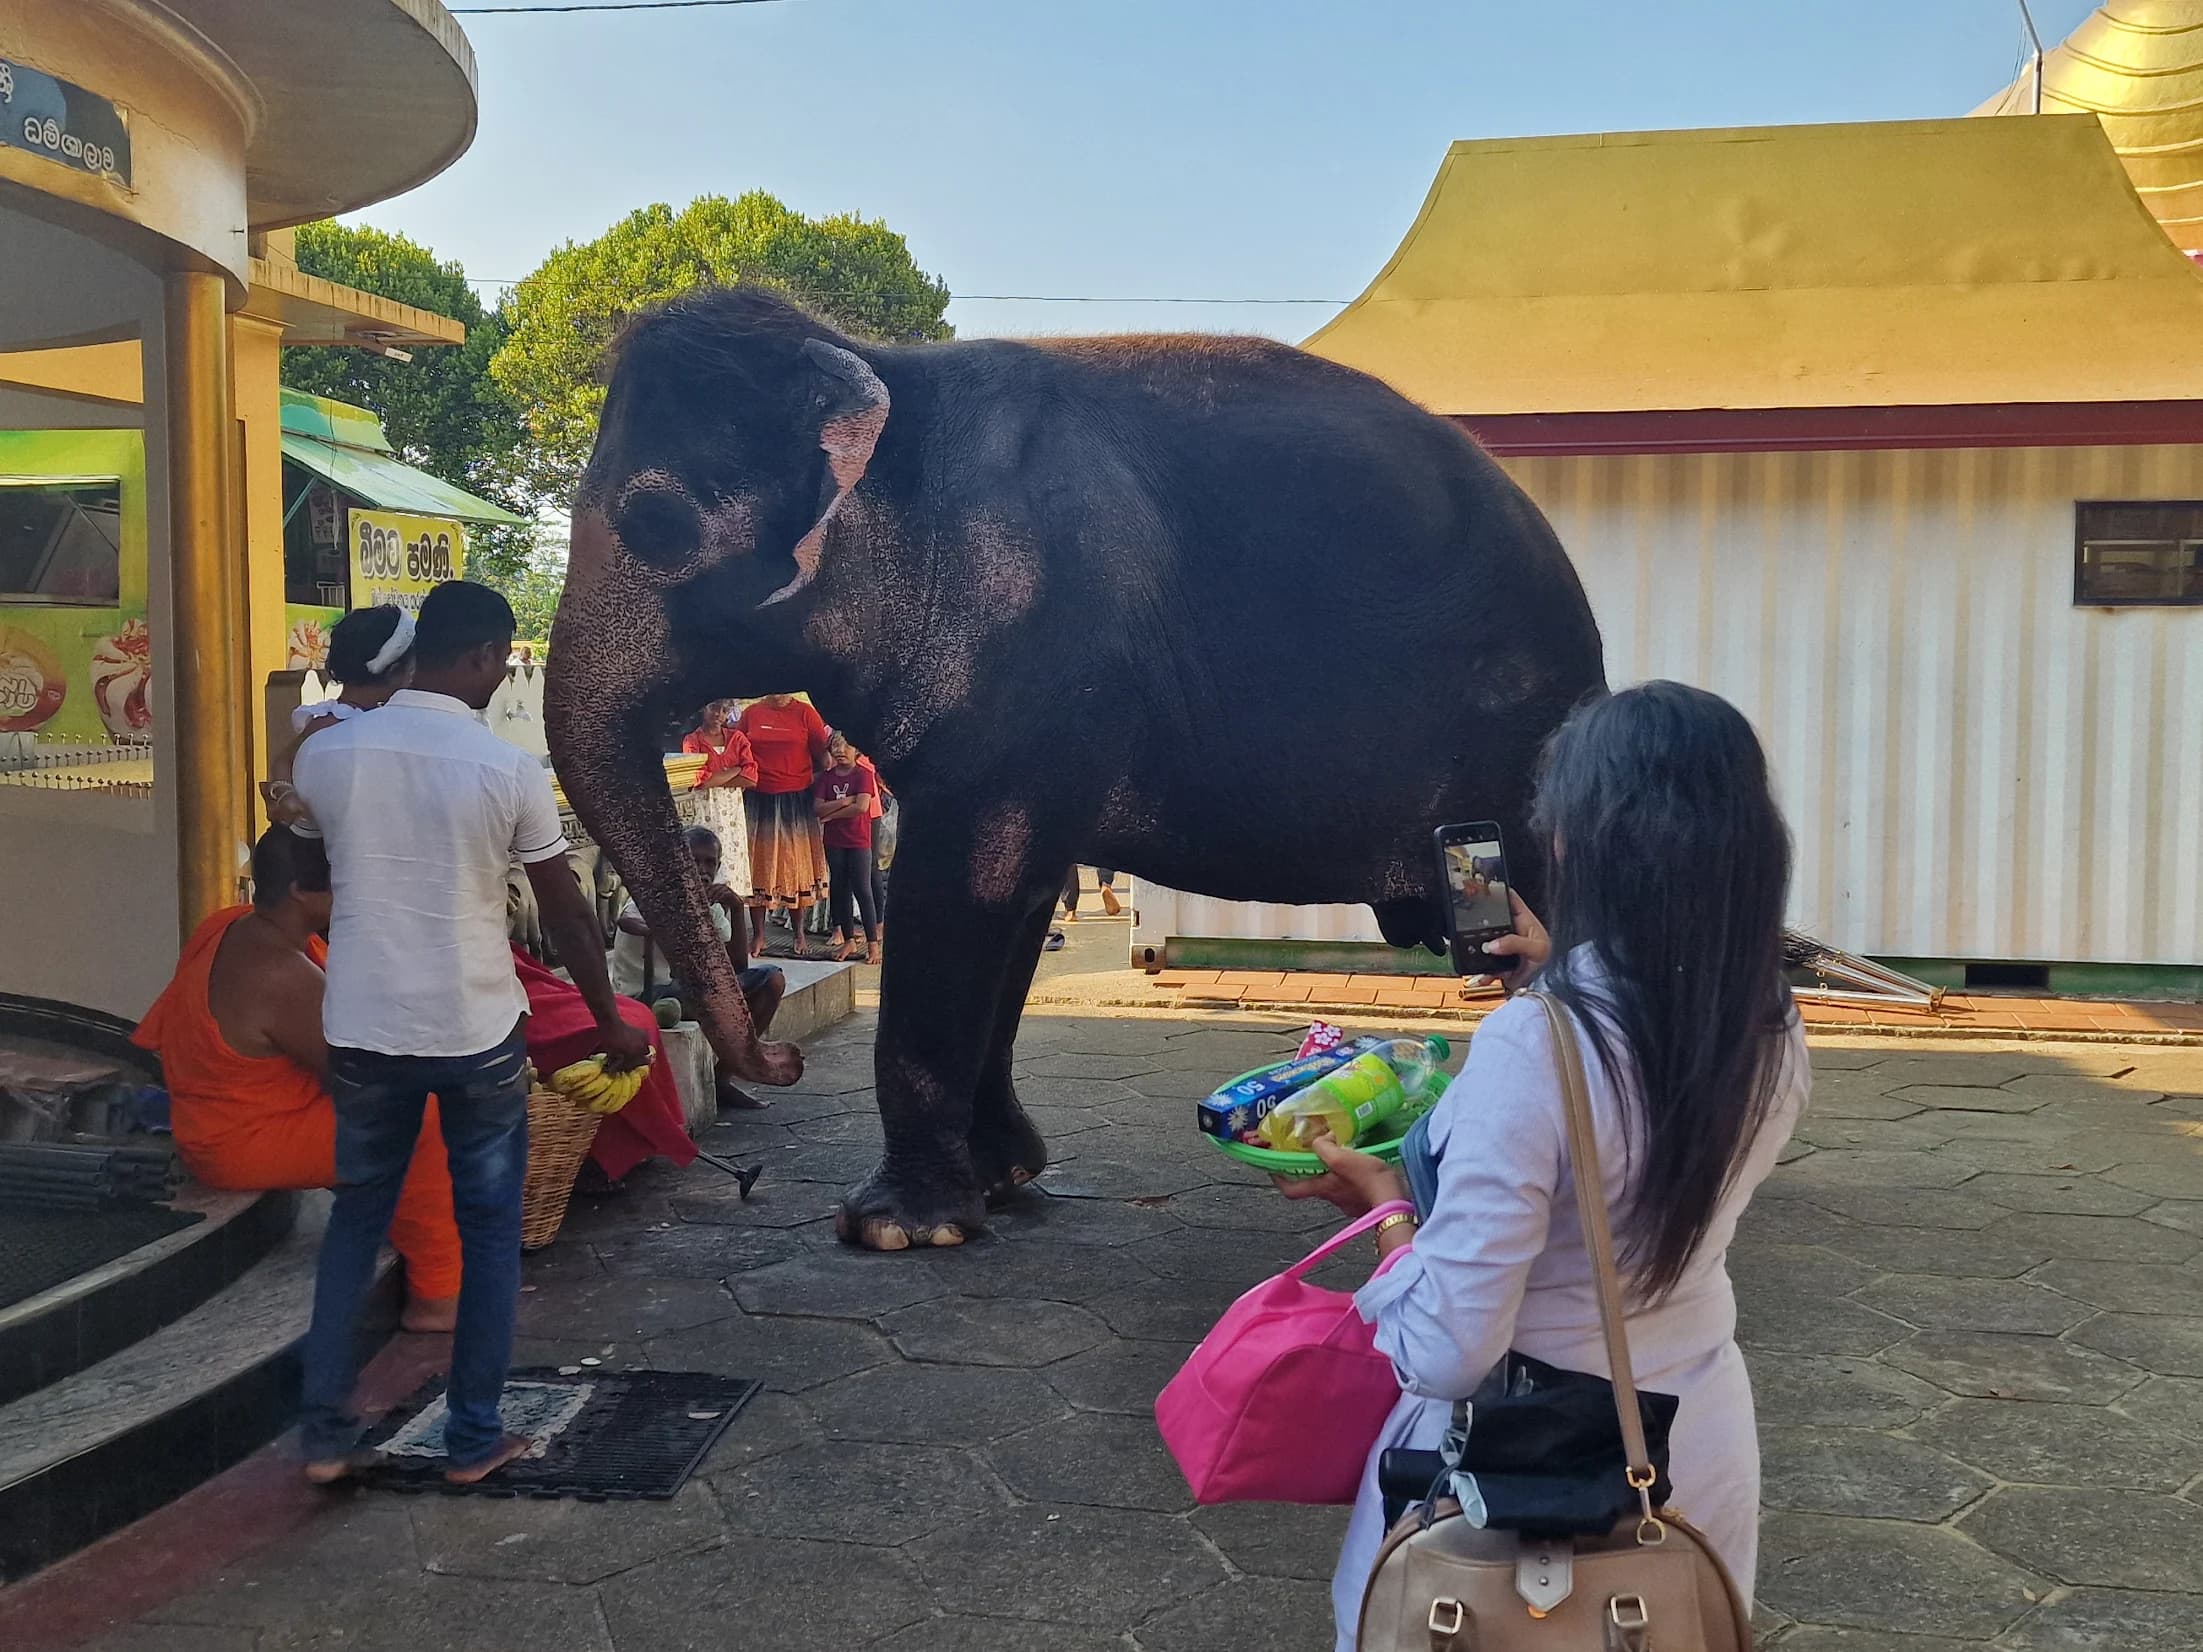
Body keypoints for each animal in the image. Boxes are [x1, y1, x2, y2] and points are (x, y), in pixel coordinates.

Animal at [546, 285, 1606, 1250]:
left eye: (656, 524)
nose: (786, 1066)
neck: (888, 384)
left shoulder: (1029, 662)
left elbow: (957, 894)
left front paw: (892, 1230)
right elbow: (1010, 906)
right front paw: (1002, 1181)